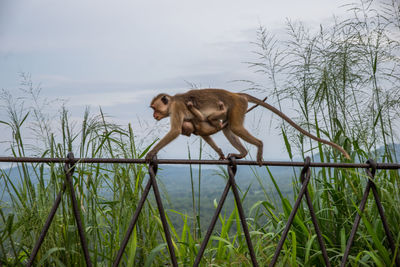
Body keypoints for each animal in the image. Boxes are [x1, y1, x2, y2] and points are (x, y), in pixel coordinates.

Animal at [148, 89, 350, 165]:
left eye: (154, 108)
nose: (153, 115)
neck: (172, 103)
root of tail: (237, 94)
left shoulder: (176, 109)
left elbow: (174, 131)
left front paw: (151, 153)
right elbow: (205, 134)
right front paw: (220, 152)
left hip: (237, 106)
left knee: (235, 127)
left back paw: (259, 145)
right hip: (237, 107)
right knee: (229, 128)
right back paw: (242, 153)